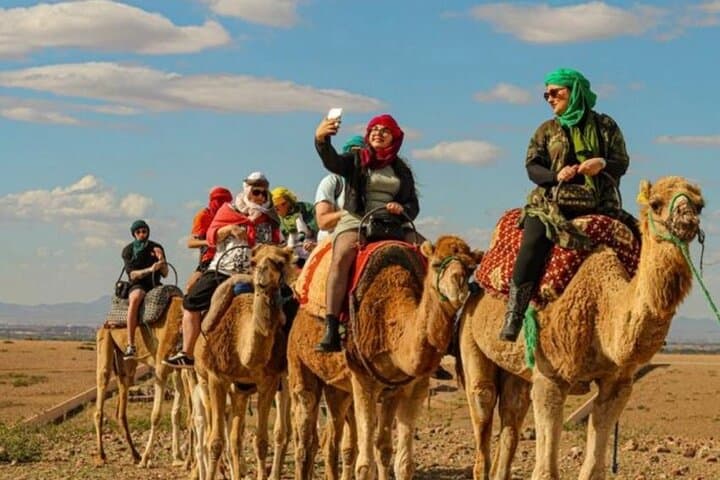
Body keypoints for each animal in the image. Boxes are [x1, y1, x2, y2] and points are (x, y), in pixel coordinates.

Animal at [94, 294, 187, 467]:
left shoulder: (177, 368)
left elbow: (176, 413)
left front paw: (178, 457)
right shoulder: (161, 368)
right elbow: (156, 415)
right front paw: (146, 458)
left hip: (126, 363)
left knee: (121, 407)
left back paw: (134, 454)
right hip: (105, 341)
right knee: (101, 389)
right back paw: (102, 455)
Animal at [193, 244, 294, 480]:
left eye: (280, 262)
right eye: (254, 262)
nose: (262, 278)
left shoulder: (268, 381)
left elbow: (261, 442)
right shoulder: (217, 377)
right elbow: (215, 442)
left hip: (246, 390)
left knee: (237, 437)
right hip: (204, 381)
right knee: (212, 434)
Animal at [288, 235, 482, 480]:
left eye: (471, 268)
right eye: (436, 264)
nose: (459, 287)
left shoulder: (409, 388)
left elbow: (397, 459)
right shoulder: (363, 380)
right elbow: (365, 465)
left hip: (337, 389)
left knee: (330, 439)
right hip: (299, 363)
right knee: (305, 440)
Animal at [458, 176, 705, 480]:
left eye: (700, 205)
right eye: (656, 203)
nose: (687, 220)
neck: (603, 308)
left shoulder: (618, 383)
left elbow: (594, 469)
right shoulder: (550, 376)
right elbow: (545, 472)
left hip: (516, 369)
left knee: (511, 417)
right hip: (470, 336)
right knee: (482, 402)